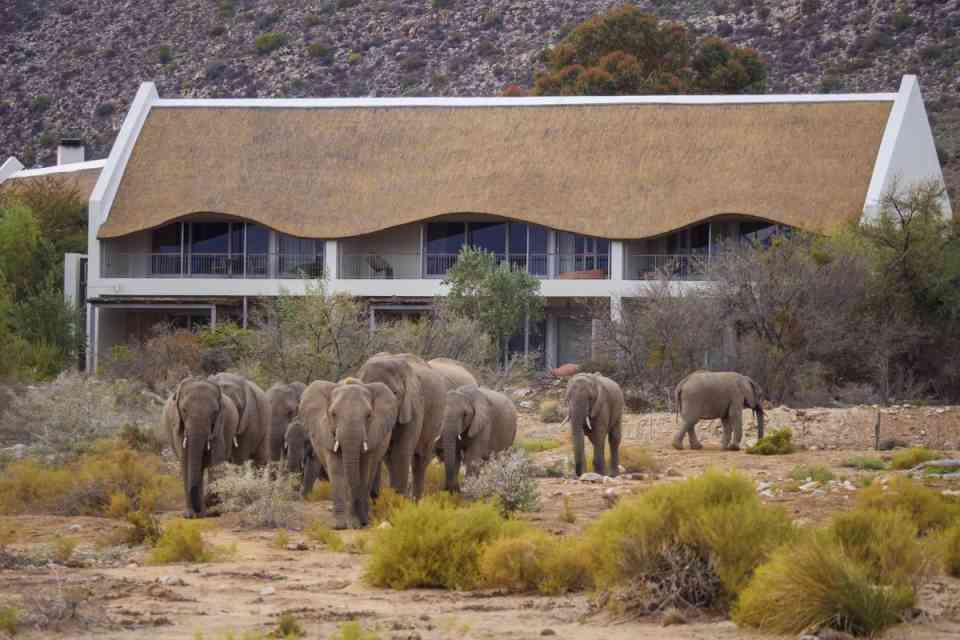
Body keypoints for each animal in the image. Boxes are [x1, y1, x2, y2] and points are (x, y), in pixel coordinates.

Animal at [161, 377, 240, 518]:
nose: (198, 512)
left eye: (214, 412)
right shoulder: (178, 426)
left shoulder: (220, 425)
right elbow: (186, 461)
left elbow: (216, 459)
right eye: (184, 410)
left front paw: (207, 512)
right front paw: (189, 515)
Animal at [300, 379, 398, 529]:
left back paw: (364, 519)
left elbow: (362, 472)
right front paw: (339, 525)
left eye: (369, 415)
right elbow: (337, 471)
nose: (356, 523)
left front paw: (355, 523)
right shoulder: (326, 432)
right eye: (333, 414)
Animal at [357, 352, 448, 500]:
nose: (374, 495)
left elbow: (401, 452)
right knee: (390, 460)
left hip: (435, 418)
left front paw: (397, 501)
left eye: (395, 393)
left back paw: (415, 502)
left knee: (419, 460)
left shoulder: (413, 406)